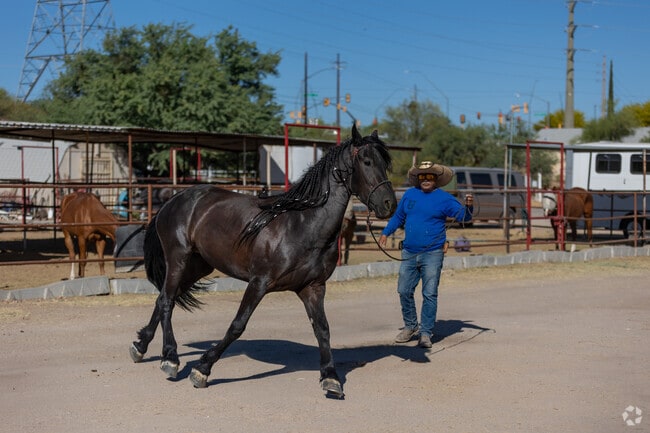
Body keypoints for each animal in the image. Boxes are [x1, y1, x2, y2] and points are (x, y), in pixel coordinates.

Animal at [128, 125, 396, 398]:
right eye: (366, 161)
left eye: (385, 163)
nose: (389, 204)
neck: (301, 225)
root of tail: (173, 199)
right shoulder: (259, 283)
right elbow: (237, 325)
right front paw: (202, 369)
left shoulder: (313, 288)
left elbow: (322, 329)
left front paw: (330, 378)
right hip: (178, 259)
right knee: (167, 301)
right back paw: (170, 358)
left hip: (198, 266)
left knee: (164, 298)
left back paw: (141, 346)